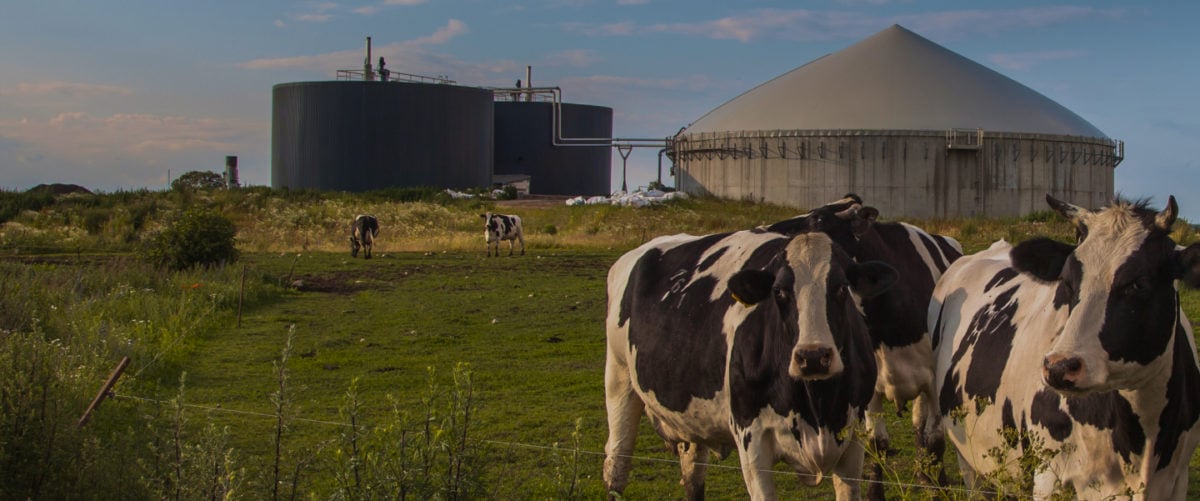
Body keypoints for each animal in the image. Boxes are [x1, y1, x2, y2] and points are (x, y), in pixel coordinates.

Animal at [604, 228, 897, 498]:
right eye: (779, 292)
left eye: (841, 288)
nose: (813, 357)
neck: (817, 408)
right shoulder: (751, 441)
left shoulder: (852, 439)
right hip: (619, 379)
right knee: (616, 463)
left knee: (693, 475)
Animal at [768, 194, 964, 496]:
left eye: (819, 219)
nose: (772, 231)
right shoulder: (870, 385)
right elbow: (877, 443)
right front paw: (874, 492)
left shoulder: (934, 380)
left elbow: (935, 439)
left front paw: (939, 488)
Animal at [931, 194, 1200, 496]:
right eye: (1068, 282)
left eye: (1137, 284)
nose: (1059, 367)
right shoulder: (1050, 477)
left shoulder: (1176, 480)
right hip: (969, 458)